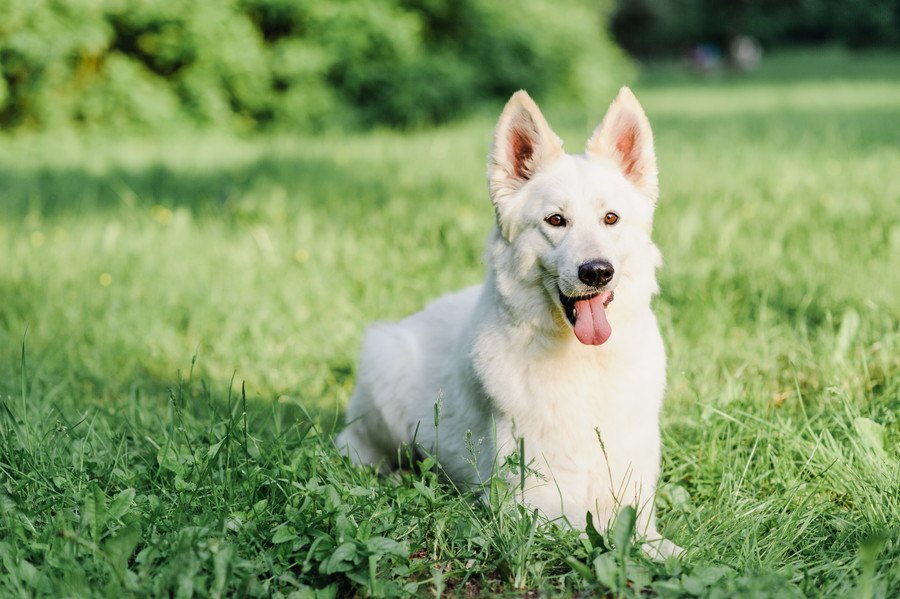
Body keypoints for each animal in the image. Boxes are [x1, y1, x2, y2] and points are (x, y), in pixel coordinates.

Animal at [338, 88, 684, 556]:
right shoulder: (531, 504)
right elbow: (597, 532)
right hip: (384, 368)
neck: (583, 364)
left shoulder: (632, 494)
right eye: (556, 220)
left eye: (610, 218)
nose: (597, 272)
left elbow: (644, 534)